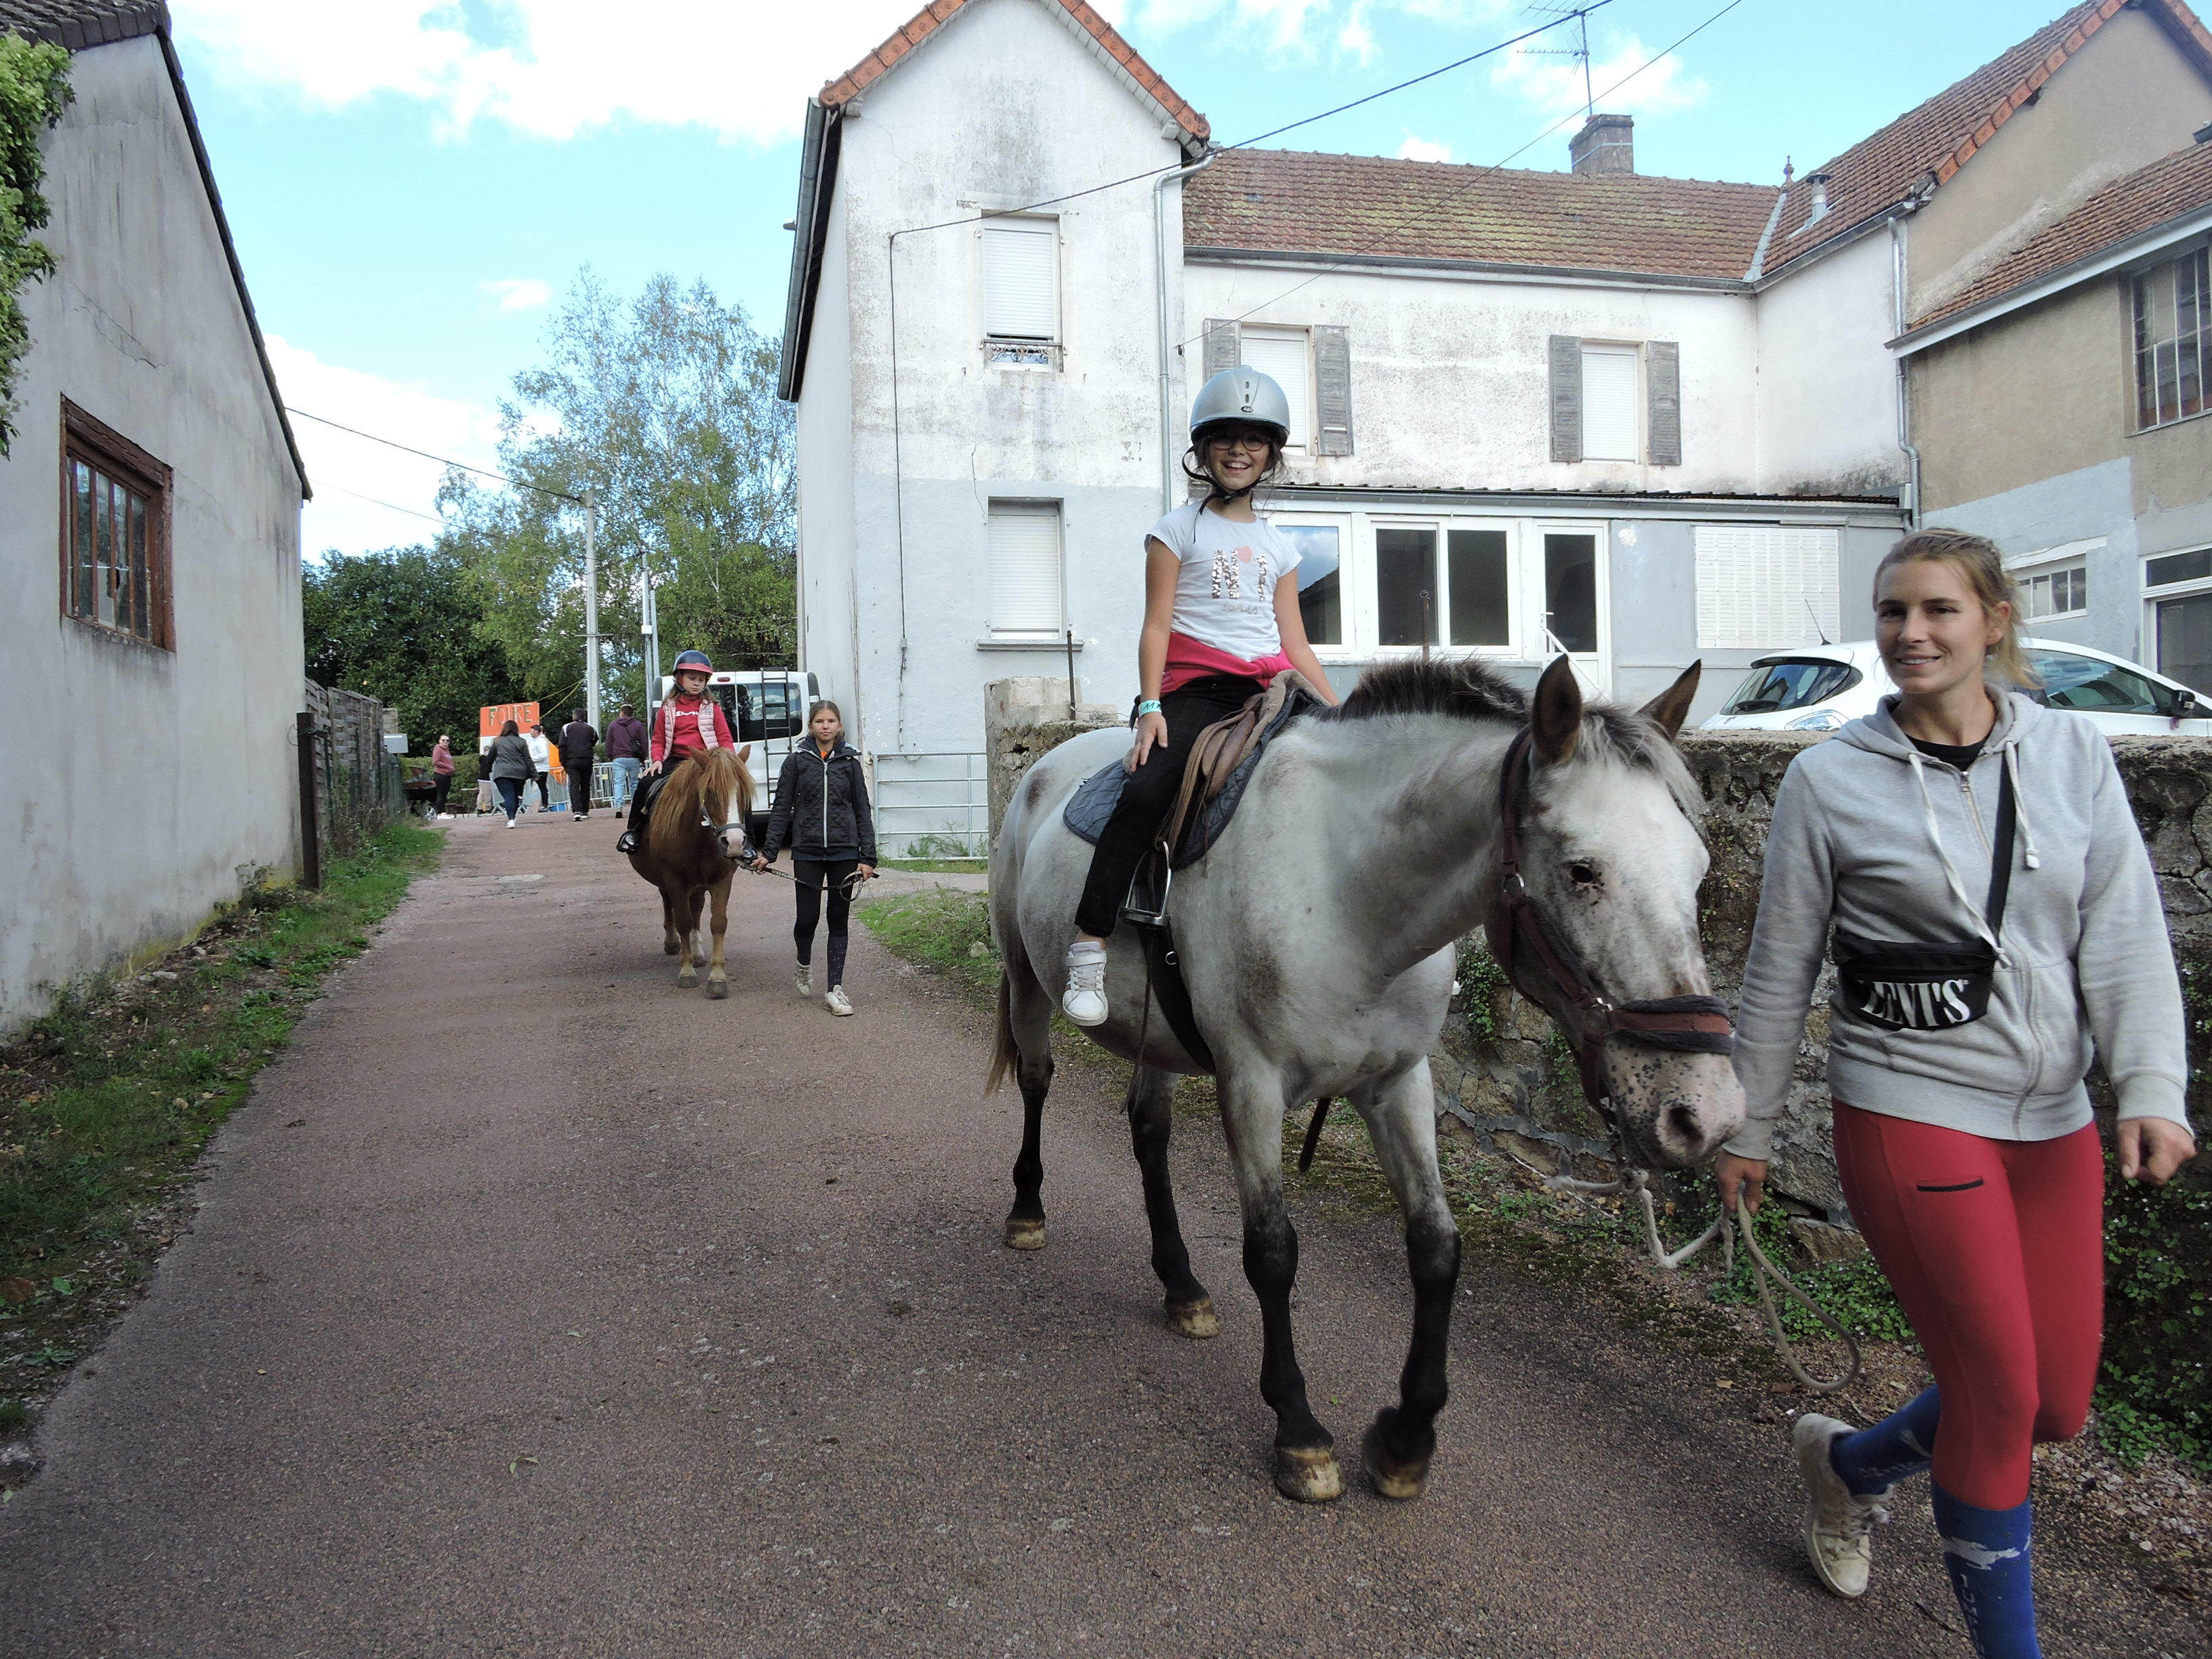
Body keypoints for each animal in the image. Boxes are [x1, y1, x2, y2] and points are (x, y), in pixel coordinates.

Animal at [626, 745, 755, 997]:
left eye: (743, 792)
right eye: (711, 791)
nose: (734, 843)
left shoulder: (722, 880)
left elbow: (718, 922)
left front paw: (717, 977)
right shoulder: (674, 880)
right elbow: (683, 920)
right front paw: (686, 971)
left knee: (696, 908)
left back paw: (697, 952)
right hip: (667, 882)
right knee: (670, 906)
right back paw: (673, 943)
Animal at [987, 655, 1745, 1504]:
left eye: (1698, 869)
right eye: (1583, 871)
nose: (1706, 1113)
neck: (1351, 892)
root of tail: (1045, 764)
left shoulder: (1399, 1084)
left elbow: (1437, 1247)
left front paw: (1406, 1439)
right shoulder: (1250, 1085)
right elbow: (1272, 1252)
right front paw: (1299, 1431)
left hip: (1160, 1037)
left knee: (1149, 1132)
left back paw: (1181, 1287)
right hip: (1027, 980)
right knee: (1038, 1079)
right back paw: (1027, 1211)